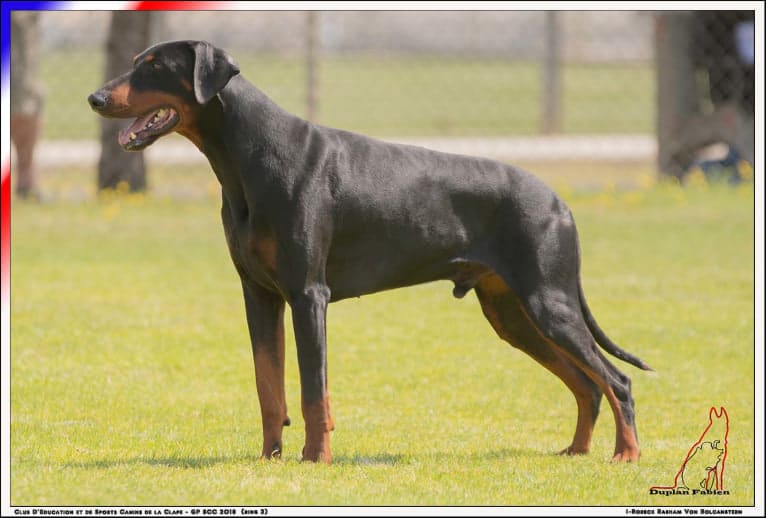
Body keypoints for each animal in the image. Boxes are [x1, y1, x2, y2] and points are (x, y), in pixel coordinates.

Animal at [91, 40, 656, 464]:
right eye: (137, 61)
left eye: (154, 66)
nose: (95, 98)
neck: (246, 155)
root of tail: (558, 200)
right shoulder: (259, 295)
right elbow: (268, 386)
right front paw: (270, 457)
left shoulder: (308, 295)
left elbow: (313, 391)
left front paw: (315, 459)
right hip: (512, 314)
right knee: (586, 385)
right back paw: (577, 451)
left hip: (547, 302)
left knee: (616, 381)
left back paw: (625, 455)